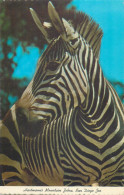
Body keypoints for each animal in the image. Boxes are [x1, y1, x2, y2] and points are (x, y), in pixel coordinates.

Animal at [0, 1, 124, 187]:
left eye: (52, 65)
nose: (20, 120)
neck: (99, 130)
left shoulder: (117, 177)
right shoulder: (73, 175)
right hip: (13, 174)